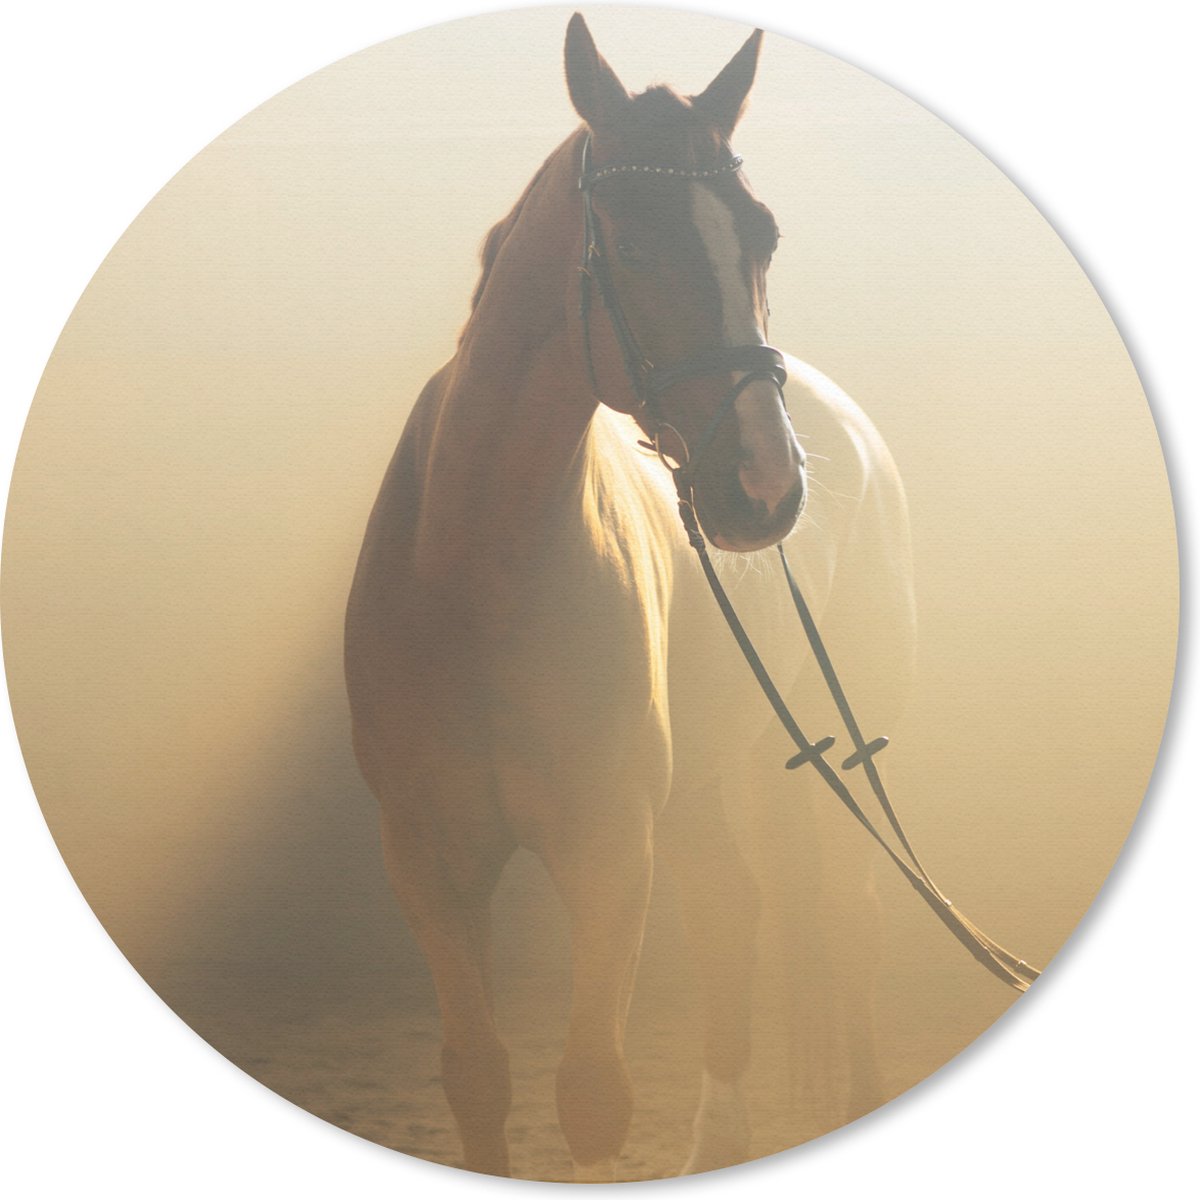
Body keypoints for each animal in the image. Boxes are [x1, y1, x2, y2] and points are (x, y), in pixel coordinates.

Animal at [344, 13, 915, 1180]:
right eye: (635, 244)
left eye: (762, 237)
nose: (764, 486)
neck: (477, 576)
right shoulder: (429, 859)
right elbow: (479, 1077)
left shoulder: (608, 850)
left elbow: (594, 1096)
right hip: (697, 785)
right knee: (735, 913)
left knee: (851, 921)